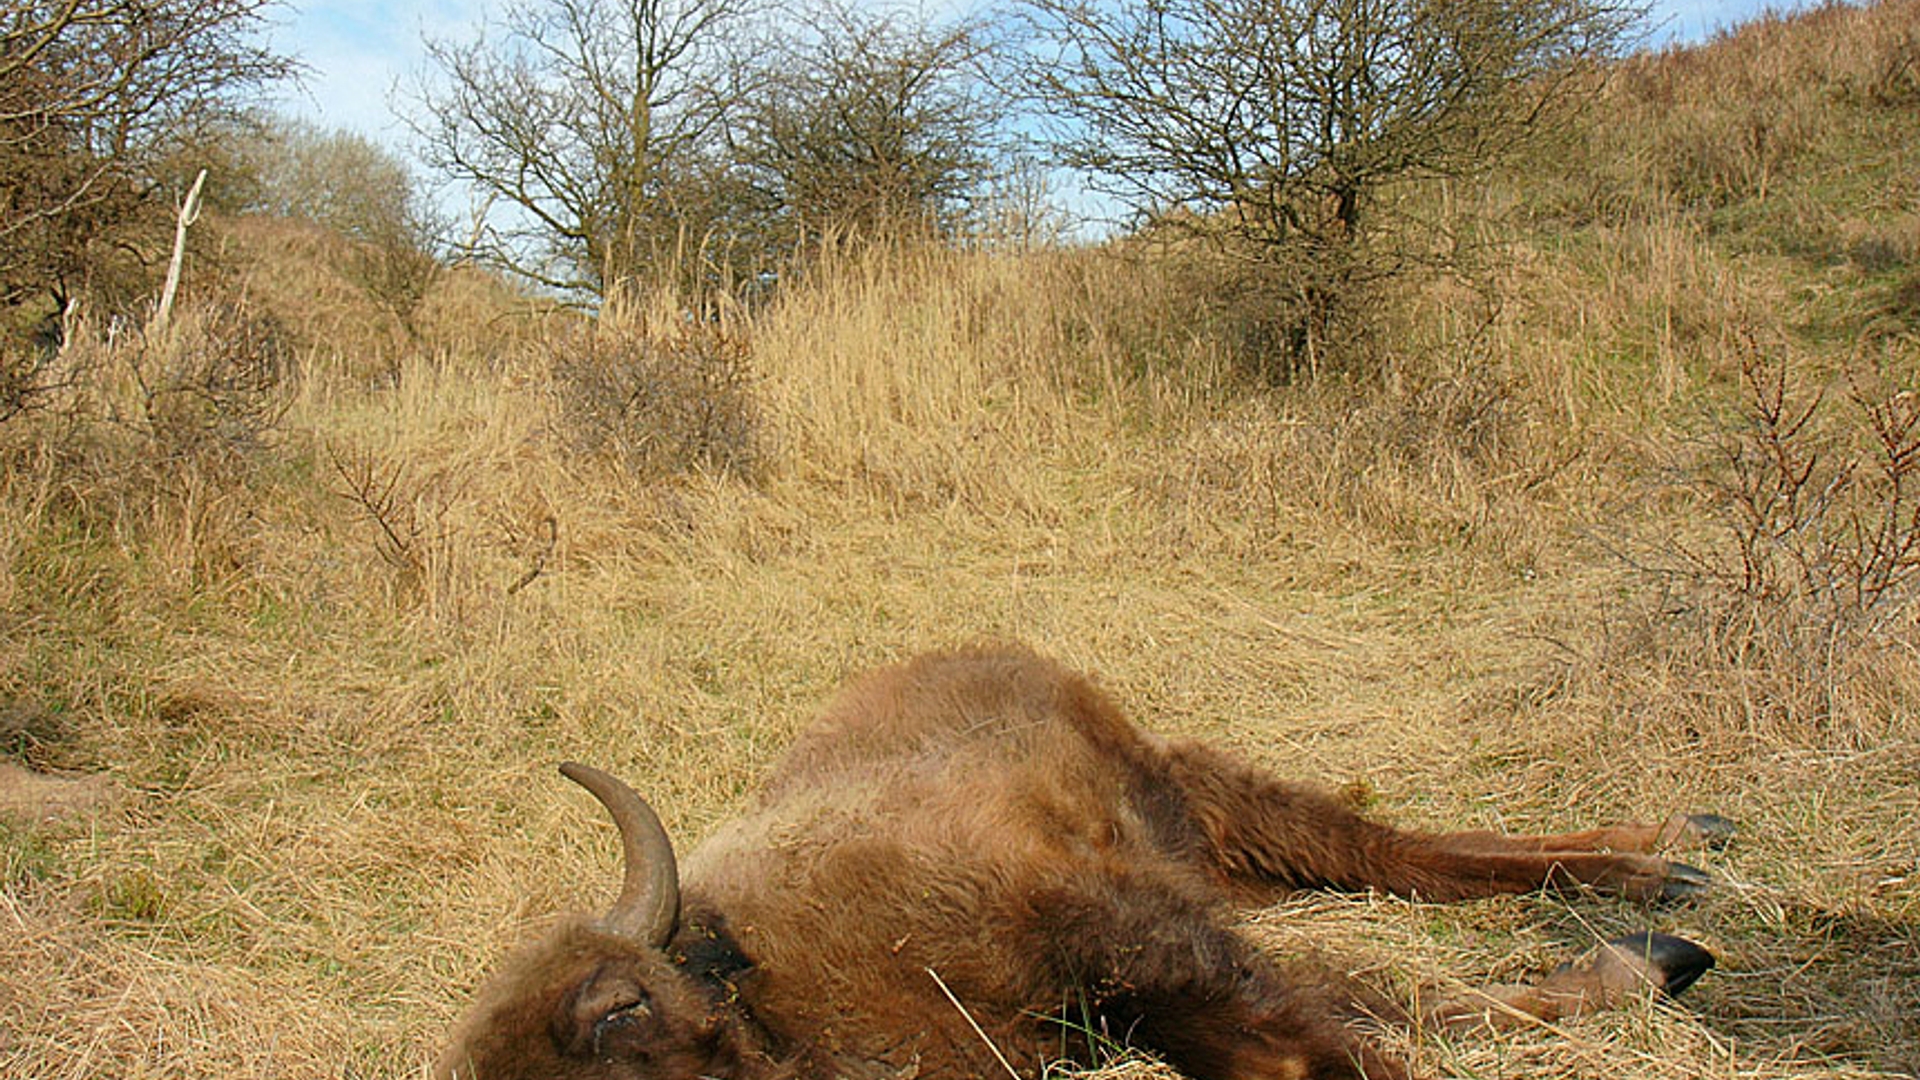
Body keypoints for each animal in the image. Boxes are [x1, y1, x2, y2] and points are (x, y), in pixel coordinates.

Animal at [439, 641, 1728, 1076]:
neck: (765, 978)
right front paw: (1634, 969)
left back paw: (1668, 868)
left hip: (1196, 799)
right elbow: (1337, 1019)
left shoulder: (1113, 924)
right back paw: (1663, 902)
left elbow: (1323, 1033)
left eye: (617, 1012)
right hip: (1219, 852)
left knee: (1393, 849)